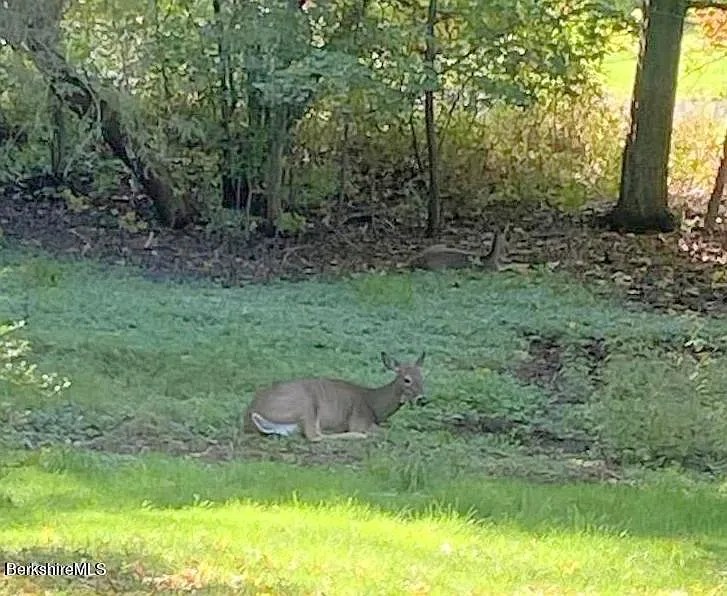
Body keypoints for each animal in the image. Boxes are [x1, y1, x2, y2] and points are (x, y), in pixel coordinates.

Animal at [243, 352, 426, 441]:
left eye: (423, 376)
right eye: (407, 379)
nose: (423, 399)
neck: (374, 405)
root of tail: (249, 417)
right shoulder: (359, 420)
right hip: (305, 404)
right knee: (314, 436)